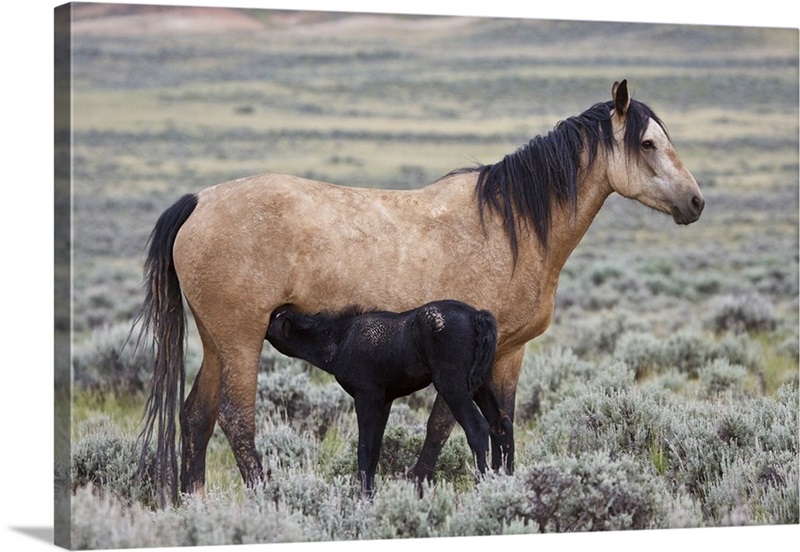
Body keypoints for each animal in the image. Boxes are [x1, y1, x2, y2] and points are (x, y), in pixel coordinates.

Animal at [138, 80, 708, 506]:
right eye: (648, 144)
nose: (696, 202)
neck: (512, 227)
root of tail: (199, 201)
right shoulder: (461, 365)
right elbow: (446, 427)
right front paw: (425, 488)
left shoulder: (508, 352)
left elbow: (500, 426)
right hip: (241, 340)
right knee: (237, 420)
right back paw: (266, 501)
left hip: (217, 342)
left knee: (196, 417)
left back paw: (195, 505)